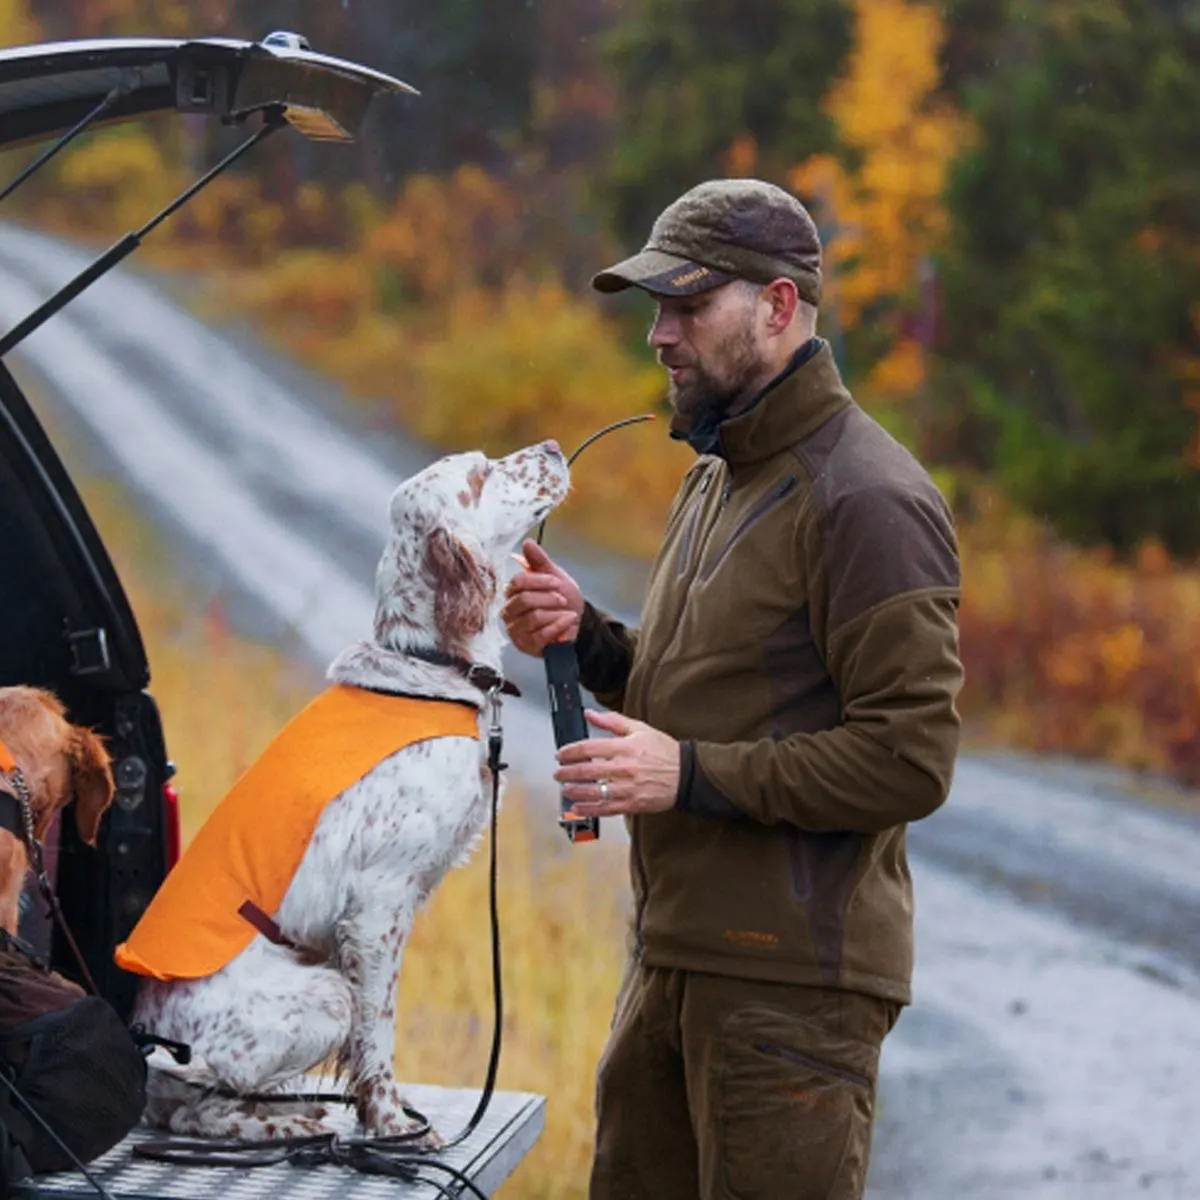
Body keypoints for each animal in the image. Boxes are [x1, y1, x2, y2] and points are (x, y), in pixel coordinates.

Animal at [129, 441, 568, 1142]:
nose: (553, 447)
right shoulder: (377, 904)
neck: (427, 665)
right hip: (317, 997)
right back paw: (288, 1125)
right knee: (198, 1107)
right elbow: (378, 1033)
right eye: (480, 474)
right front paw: (392, 1125)